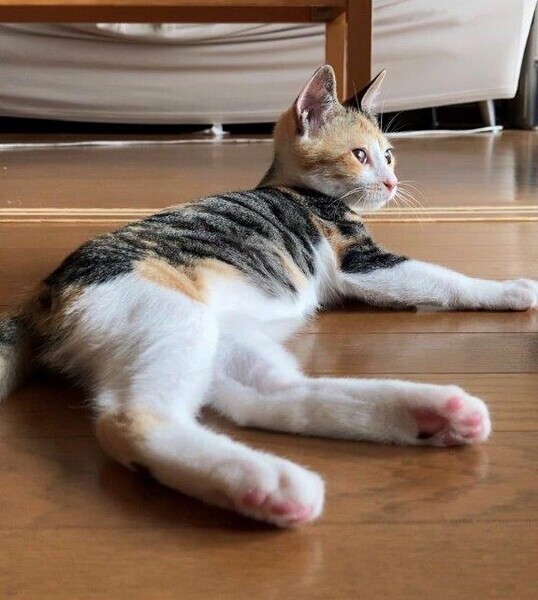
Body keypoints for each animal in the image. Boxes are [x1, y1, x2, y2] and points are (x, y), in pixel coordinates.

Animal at [1, 66, 537, 528]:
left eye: (388, 155)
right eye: (360, 155)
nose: (391, 182)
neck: (296, 188)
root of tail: (43, 295)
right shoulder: (359, 259)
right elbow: (441, 277)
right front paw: (511, 287)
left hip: (222, 338)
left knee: (268, 395)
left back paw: (432, 415)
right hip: (168, 315)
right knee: (133, 418)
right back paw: (268, 483)